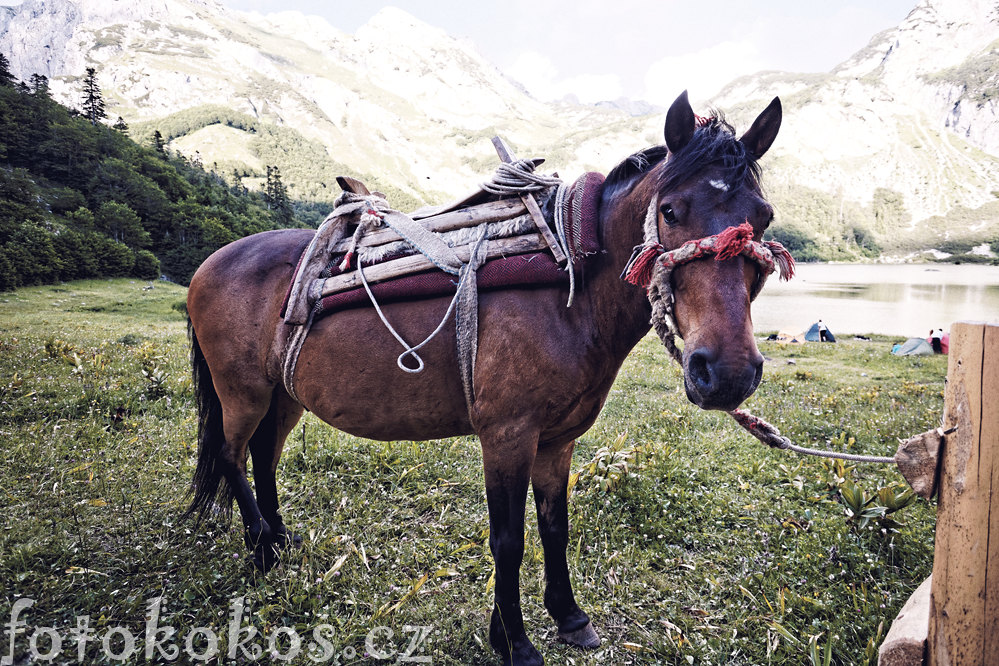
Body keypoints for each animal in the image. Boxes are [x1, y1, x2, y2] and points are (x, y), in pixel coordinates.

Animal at [186, 92, 780, 664]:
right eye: (671, 211)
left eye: (765, 218)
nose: (727, 372)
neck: (570, 290)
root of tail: (210, 262)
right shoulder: (507, 435)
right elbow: (508, 540)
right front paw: (515, 642)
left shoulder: (556, 440)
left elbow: (554, 526)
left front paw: (567, 617)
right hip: (242, 392)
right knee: (232, 455)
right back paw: (261, 544)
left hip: (284, 395)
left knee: (264, 455)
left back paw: (278, 539)